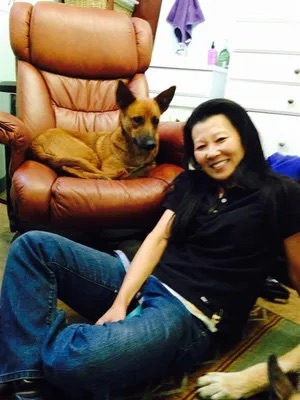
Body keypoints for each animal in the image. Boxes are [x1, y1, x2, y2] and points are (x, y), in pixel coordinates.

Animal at [29, 80, 176, 180]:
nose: (151, 145)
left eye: (156, 121)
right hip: (87, 154)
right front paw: (133, 172)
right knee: (74, 169)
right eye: (137, 119)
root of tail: (37, 140)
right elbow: (131, 173)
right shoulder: (109, 167)